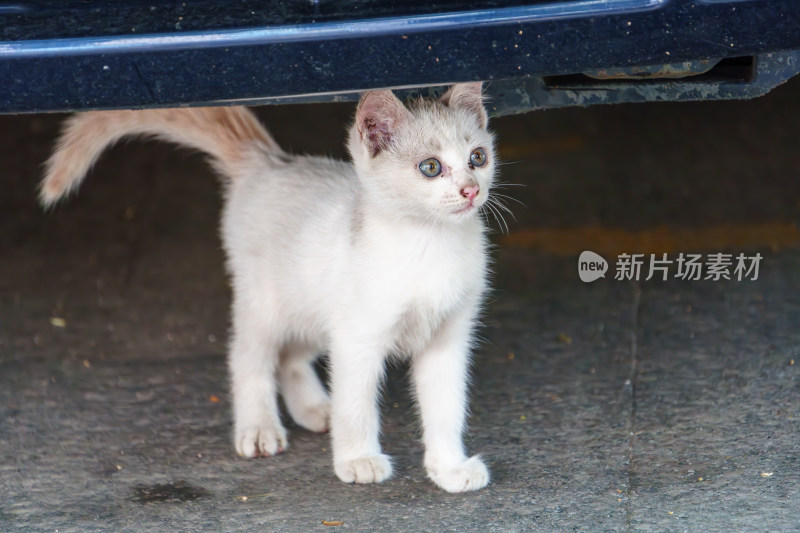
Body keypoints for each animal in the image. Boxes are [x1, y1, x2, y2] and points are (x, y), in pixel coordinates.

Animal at [42, 82, 500, 490]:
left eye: (478, 157)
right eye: (430, 167)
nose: (470, 189)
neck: (429, 248)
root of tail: (270, 162)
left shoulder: (448, 339)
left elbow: (446, 408)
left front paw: (449, 469)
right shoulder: (358, 339)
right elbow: (355, 407)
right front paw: (358, 459)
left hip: (312, 308)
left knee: (290, 356)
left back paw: (315, 408)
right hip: (266, 303)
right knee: (248, 358)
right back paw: (259, 428)